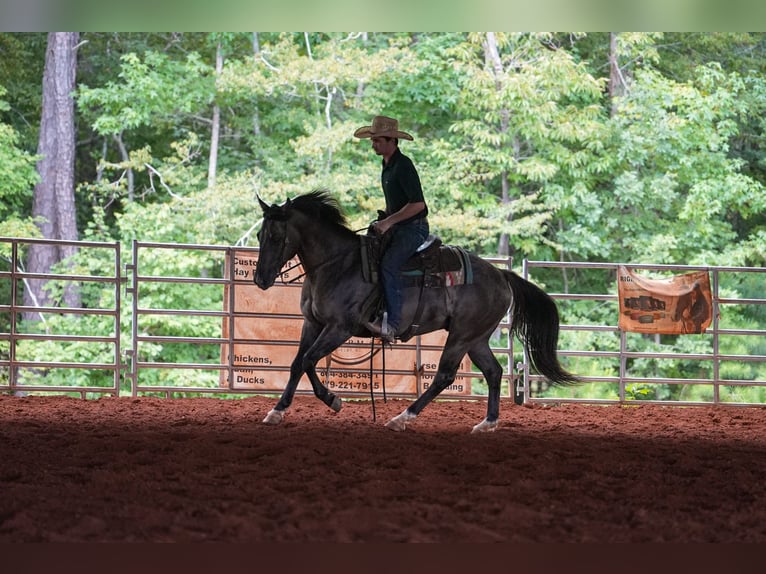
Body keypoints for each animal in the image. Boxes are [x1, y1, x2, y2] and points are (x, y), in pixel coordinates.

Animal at [253, 190, 578, 432]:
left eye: (275, 237)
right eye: (259, 236)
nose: (260, 279)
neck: (337, 264)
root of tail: (502, 275)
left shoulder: (339, 328)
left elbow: (309, 360)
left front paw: (333, 400)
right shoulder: (312, 323)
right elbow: (297, 364)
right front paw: (277, 411)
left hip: (461, 335)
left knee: (444, 375)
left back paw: (403, 417)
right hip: (476, 338)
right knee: (493, 371)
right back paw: (487, 422)